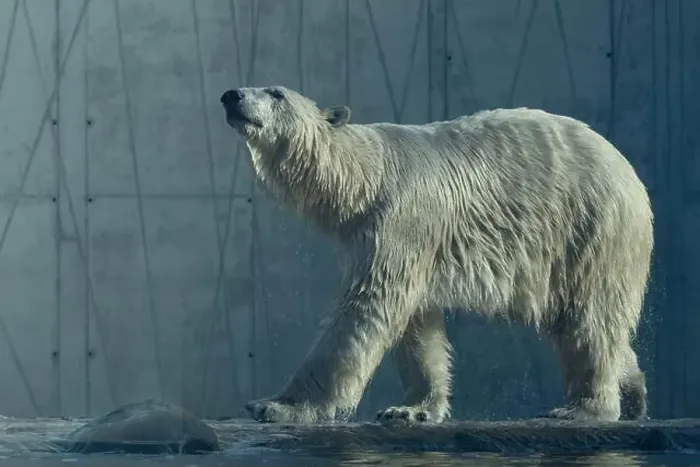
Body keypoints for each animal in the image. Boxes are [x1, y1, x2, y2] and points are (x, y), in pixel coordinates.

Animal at [219, 85, 654, 425]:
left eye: (276, 93)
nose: (231, 95)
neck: (366, 176)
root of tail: (629, 171)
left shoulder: (403, 216)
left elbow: (367, 305)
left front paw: (278, 406)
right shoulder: (378, 235)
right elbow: (416, 322)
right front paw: (411, 409)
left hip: (590, 226)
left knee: (589, 316)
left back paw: (584, 407)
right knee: (586, 320)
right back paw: (633, 393)